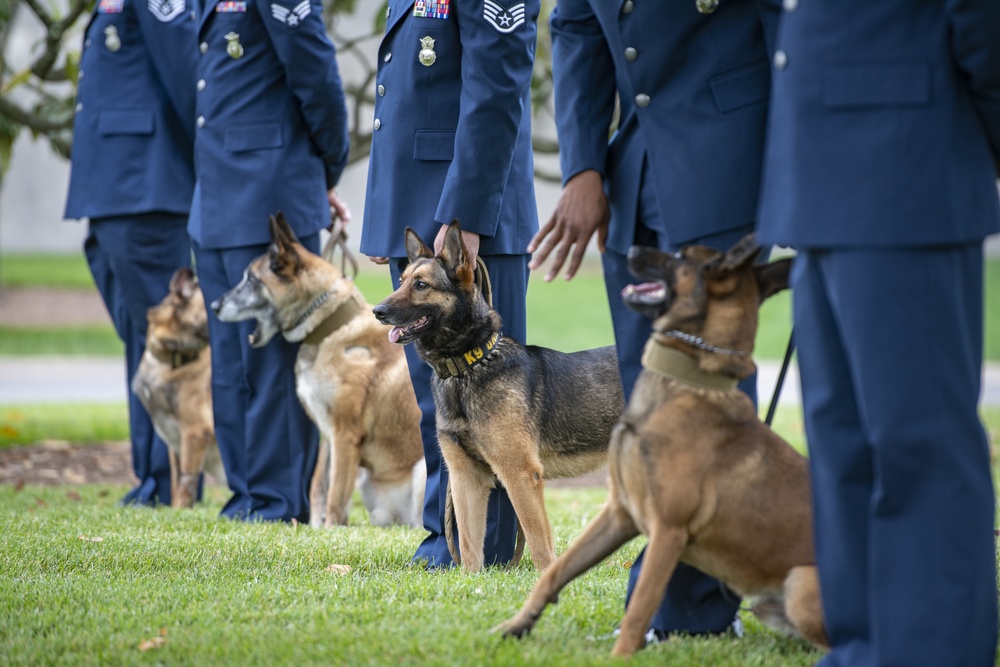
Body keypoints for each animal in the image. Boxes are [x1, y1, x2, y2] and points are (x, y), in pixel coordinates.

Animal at [213, 213, 424, 528]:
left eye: (251, 279)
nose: (214, 305)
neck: (331, 329)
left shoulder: (345, 435)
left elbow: (335, 493)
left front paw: (331, 529)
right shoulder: (328, 436)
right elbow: (318, 487)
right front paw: (316, 529)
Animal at [376, 223, 624, 576]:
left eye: (421, 285)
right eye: (401, 282)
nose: (377, 312)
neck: (468, 366)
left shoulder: (520, 474)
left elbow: (538, 541)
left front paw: (547, 578)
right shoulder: (466, 478)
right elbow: (468, 543)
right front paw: (470, 581)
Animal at [492, 236, 828, 656]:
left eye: (682, 255)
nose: (630, 247)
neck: (684, 384)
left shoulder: (667, 532)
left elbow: (639, 608)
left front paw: (620, 659)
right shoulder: (618, 514)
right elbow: (555, 571)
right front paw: (517, 624)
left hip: (800, 583)